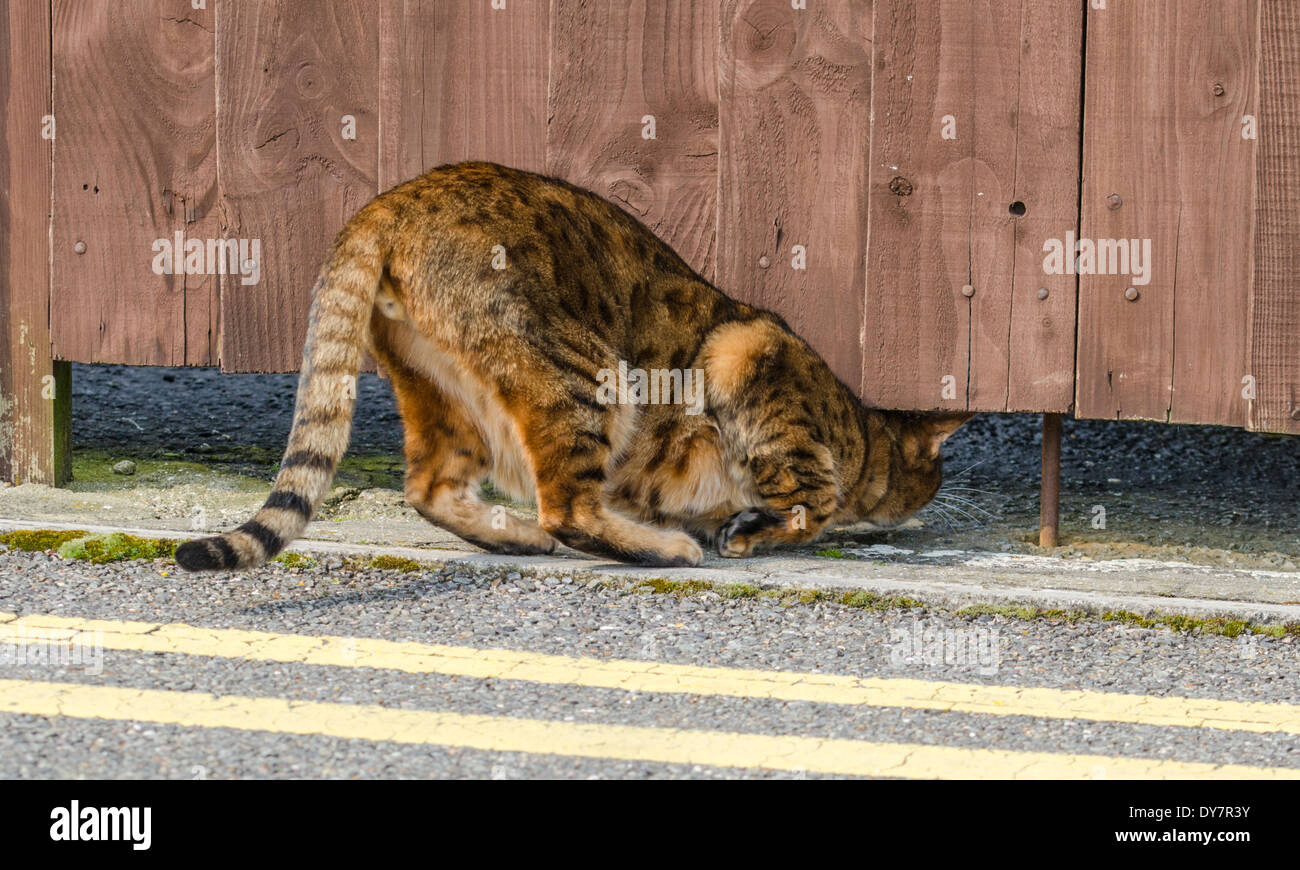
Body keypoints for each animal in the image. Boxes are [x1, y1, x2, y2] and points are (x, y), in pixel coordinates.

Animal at [175, 161, 967, 569]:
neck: (861, 433)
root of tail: (392, 198)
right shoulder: (749, 362)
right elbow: (808, 504)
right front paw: (750, 530)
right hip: (584, 373)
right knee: (570, 507)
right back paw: (667, 548)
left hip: (441, 385)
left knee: (431, 484)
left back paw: (517, 534)